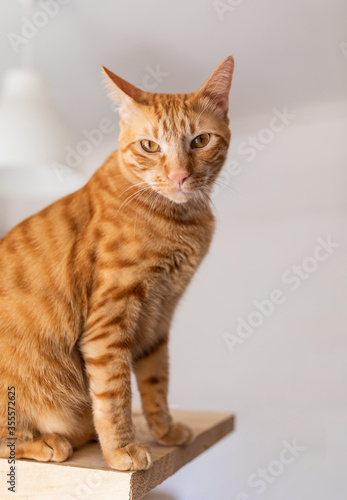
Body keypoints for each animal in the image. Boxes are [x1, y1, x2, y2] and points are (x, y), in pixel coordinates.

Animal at [0, 56, 235, 470]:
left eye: (201, 141)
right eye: (150, 146)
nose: (179, 176)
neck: (179, 220)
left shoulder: (159, 320)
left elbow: (156, 382)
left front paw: (164, 432)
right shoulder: (108, 324)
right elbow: (115, 393)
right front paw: (121, 448)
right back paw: (48, 442)